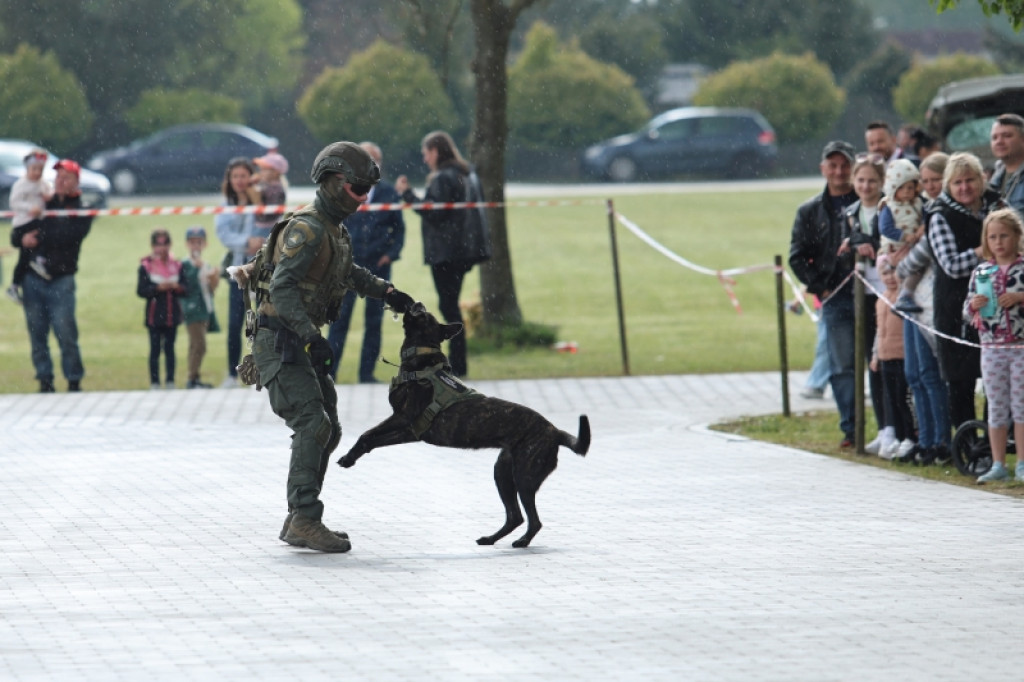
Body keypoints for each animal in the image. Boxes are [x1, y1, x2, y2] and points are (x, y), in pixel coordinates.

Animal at [339, 303, 589, 548]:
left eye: (424, 314)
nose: (415, 303)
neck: (422, 360)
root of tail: (555, 431)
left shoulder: (402, 419)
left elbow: (366, 434)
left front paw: (348, 456)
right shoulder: (410, 431)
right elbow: (371, 440)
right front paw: (351, 457)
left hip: (524, 476)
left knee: (533, 520)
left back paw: (523, 541)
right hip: (503, 473)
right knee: (515, 516)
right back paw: (491, 538)